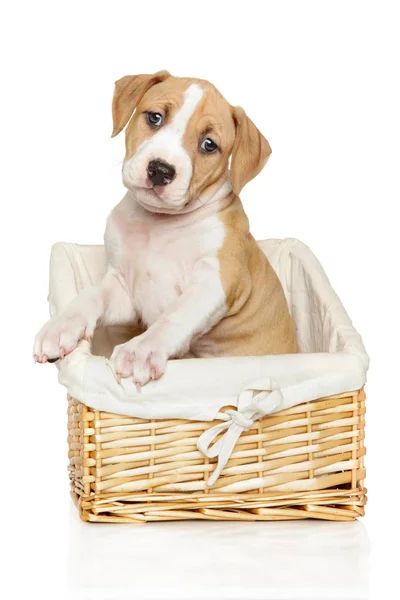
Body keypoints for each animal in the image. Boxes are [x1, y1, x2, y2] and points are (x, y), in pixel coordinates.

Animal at [33, 71, 296, 390]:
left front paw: (140, 351)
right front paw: (61, 326)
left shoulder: (216, 281)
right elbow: (92, 296)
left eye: (209, 144)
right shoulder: (125, 290)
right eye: (155, 117)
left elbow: (176, 315)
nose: (160, 170)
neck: (158, 224)